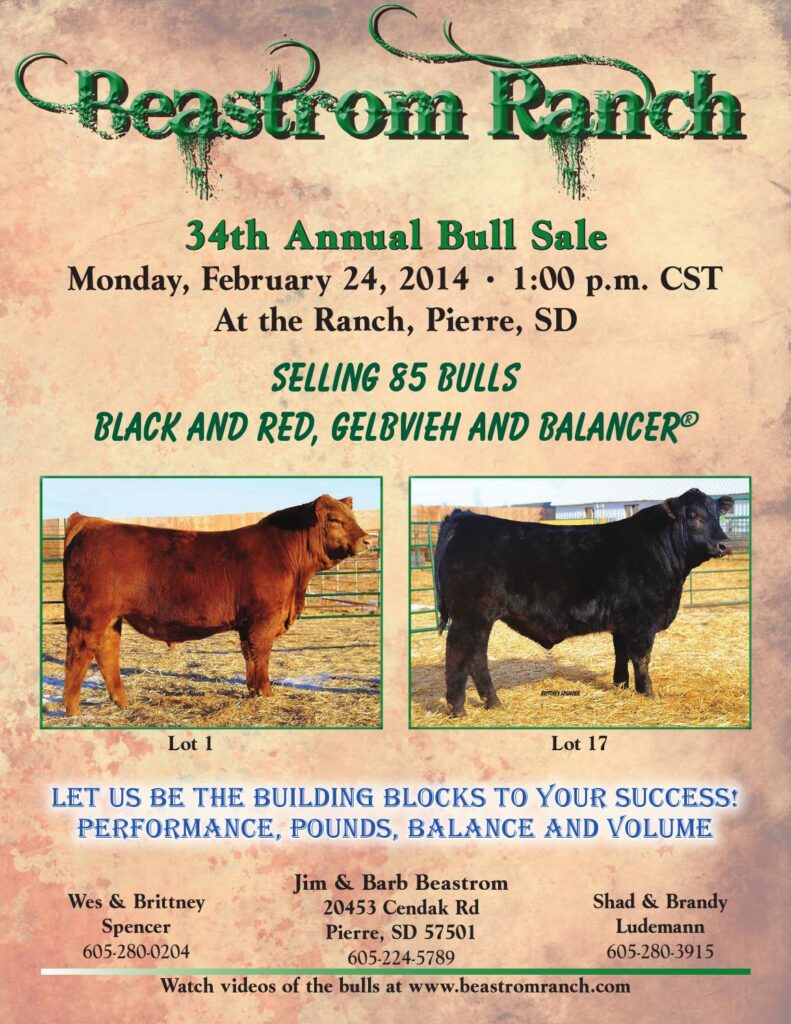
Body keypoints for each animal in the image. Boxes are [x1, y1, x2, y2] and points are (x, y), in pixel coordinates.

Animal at [61, 495, 372, 716]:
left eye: (352, 516)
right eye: (333, 518)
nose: (367, 539)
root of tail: (91, 522)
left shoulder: (248, 624)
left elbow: (249, 656)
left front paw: (252, 691)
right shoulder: (264, 619)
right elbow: (262, 655)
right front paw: (266, 692)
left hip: (111, 619)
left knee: (107, 653)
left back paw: (122, 703)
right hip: (89, 618)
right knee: (78, 656)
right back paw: (73, 711)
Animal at [433, 489, 734, 716]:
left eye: (718, 514)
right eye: (693, 516)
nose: (724, 544)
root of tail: (464, 517)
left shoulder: (623, 621)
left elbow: (620, 653)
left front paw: (621, 685)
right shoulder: (641, 621)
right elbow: (641, 658)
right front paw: (647, 692)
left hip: (478, 619)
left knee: (475, 657)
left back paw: (492, 703)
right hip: (471, 616)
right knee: (459, 655)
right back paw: (459, 708)